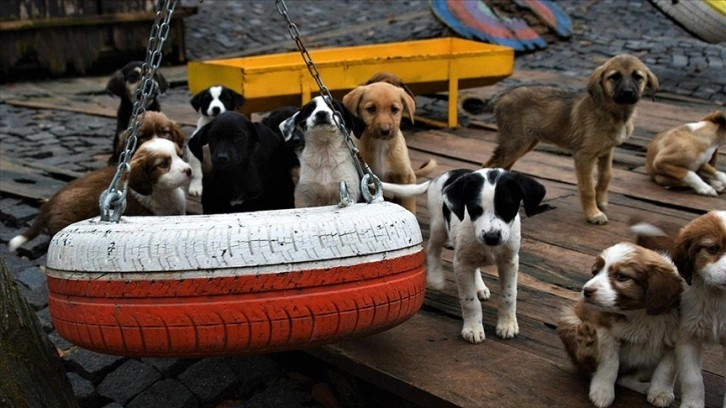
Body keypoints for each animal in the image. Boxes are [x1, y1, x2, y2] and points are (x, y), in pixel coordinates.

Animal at [346, 77, 440, 214]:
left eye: (394, 109)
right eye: (371, 109)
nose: (385, 130)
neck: (380, 145)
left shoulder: (406, 178)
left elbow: (408, 205)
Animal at [378, 169, 548, 344]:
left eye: (507, 207)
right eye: (475, 209)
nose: (492, 237)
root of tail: (439, 178)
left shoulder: (509, 262)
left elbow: (509, 295)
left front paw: (507, 324)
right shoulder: (461, 265)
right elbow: (470, 300)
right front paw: (473, 328)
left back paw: (479, 286)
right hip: (439, 226)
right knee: (432, 249)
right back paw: (436, 277)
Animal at [486, 53, 664, 225]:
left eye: (638, 77)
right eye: (614, 77)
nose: (628, 92)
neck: (613, 113)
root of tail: (502, 95)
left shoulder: (607, 151)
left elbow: (606, 176)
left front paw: (601, 202)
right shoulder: (584, 156)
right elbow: (588, 189)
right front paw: (593, 214)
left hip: (526, 143)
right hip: (516, 143)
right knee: (490, 165)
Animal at [560, 244, 684, 406]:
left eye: (622, 276)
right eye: (595, 272)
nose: (586, 291)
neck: (640, 314)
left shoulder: (677, 339)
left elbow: (667, 369)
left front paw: (660, 392)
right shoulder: (604, 329)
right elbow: (610, 362)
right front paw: (602, 392)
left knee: (625, 379)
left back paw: (645, 387)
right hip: (567, 318)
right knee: (586, 364)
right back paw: (587, 343)